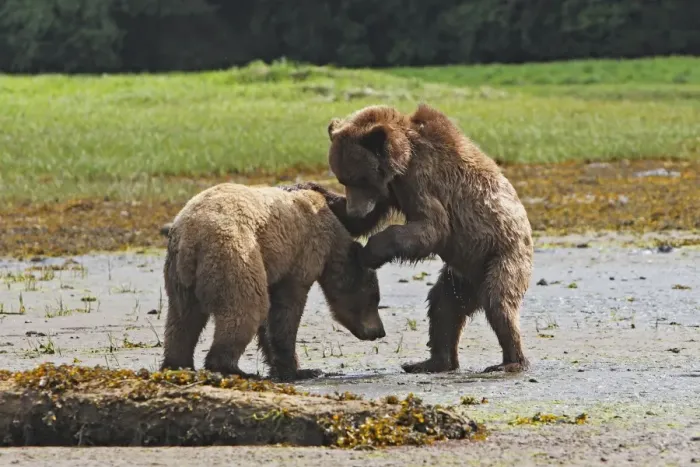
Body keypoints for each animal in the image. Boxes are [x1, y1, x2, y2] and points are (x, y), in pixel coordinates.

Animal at [160, 182, 386, 382]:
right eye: (374, 299)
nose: (380, 332)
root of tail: (191, 238)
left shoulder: (271, 265)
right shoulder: (301, 254)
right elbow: (285, 310)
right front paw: (300, 370)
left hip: (178, 277)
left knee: (182, 320)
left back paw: (177, 365)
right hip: (233, 254)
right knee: (246, 307)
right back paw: (233, 369)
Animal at [299, 103, 533, 374]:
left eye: (361, 179)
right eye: (342, 179)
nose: (355, 209)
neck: (402, 160)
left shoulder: (423, 178)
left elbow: (432, 228)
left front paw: (367, 252)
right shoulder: (389, 191)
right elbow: (366, 221)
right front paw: (310, 189)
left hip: (501, 254)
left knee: (499, 303)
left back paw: (510, 361)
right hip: (462, 277)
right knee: (444, 305)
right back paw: (430, 362)